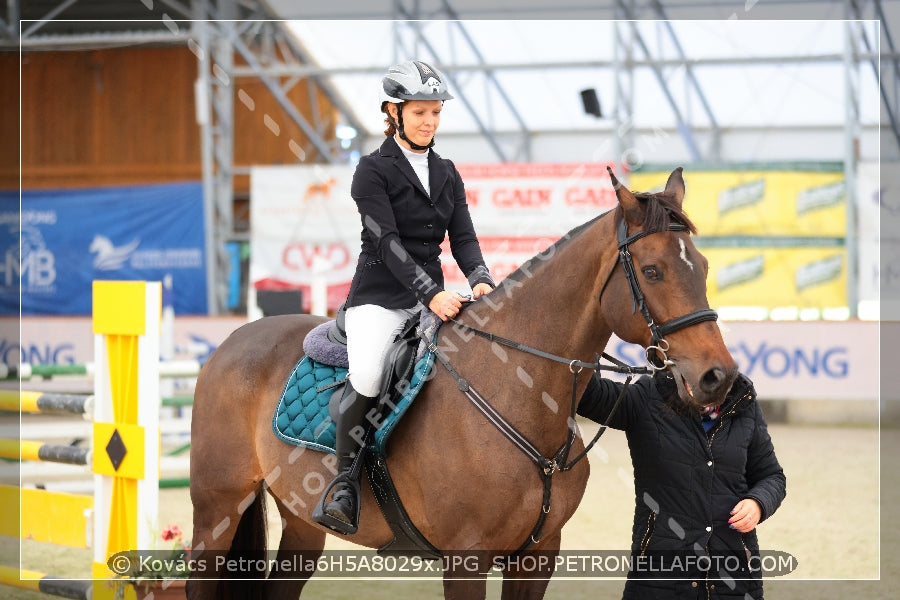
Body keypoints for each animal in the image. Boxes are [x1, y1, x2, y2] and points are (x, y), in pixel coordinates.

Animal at [188, 166, 740, 596]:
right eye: (652, 270)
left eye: (703, 266)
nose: (718, 377)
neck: (518, 391)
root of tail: (235, 339)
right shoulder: (466, 558)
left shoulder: (538, 555)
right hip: (217, 511)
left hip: (301, 525)